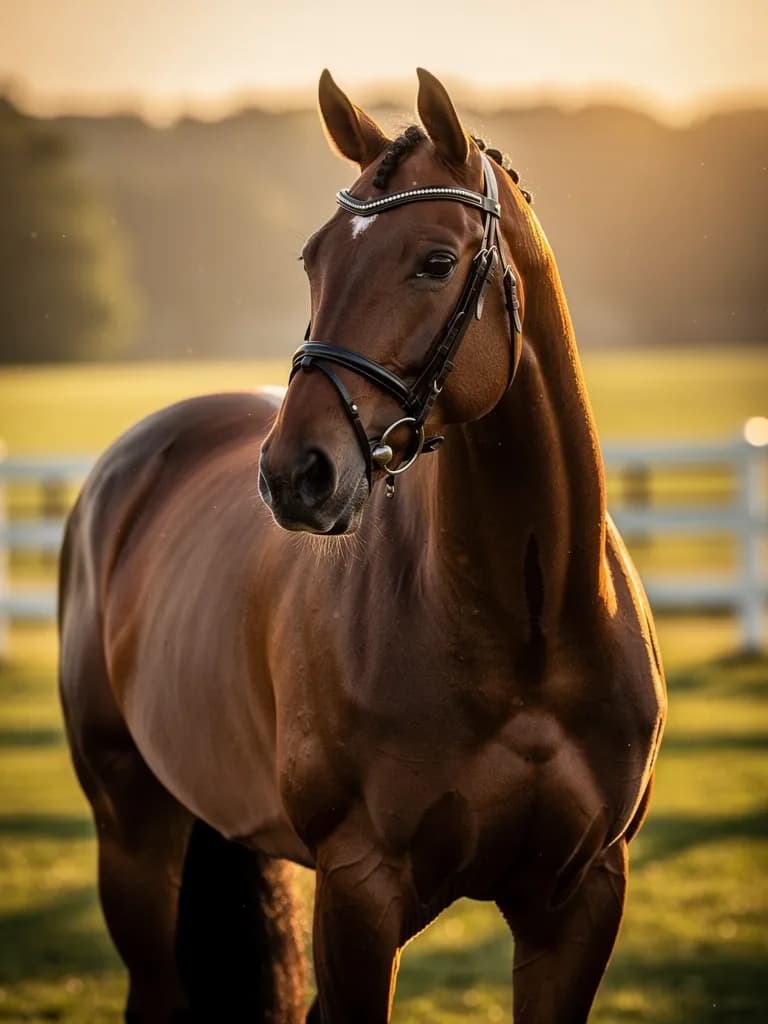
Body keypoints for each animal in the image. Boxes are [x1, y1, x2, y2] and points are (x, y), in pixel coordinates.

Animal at [59, 68, 666, 1023]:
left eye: (436, 262)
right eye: (314, 258)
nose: (294, 474)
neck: (527, 631)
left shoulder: (580, 901)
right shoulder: (360, 892)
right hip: (134, 837)